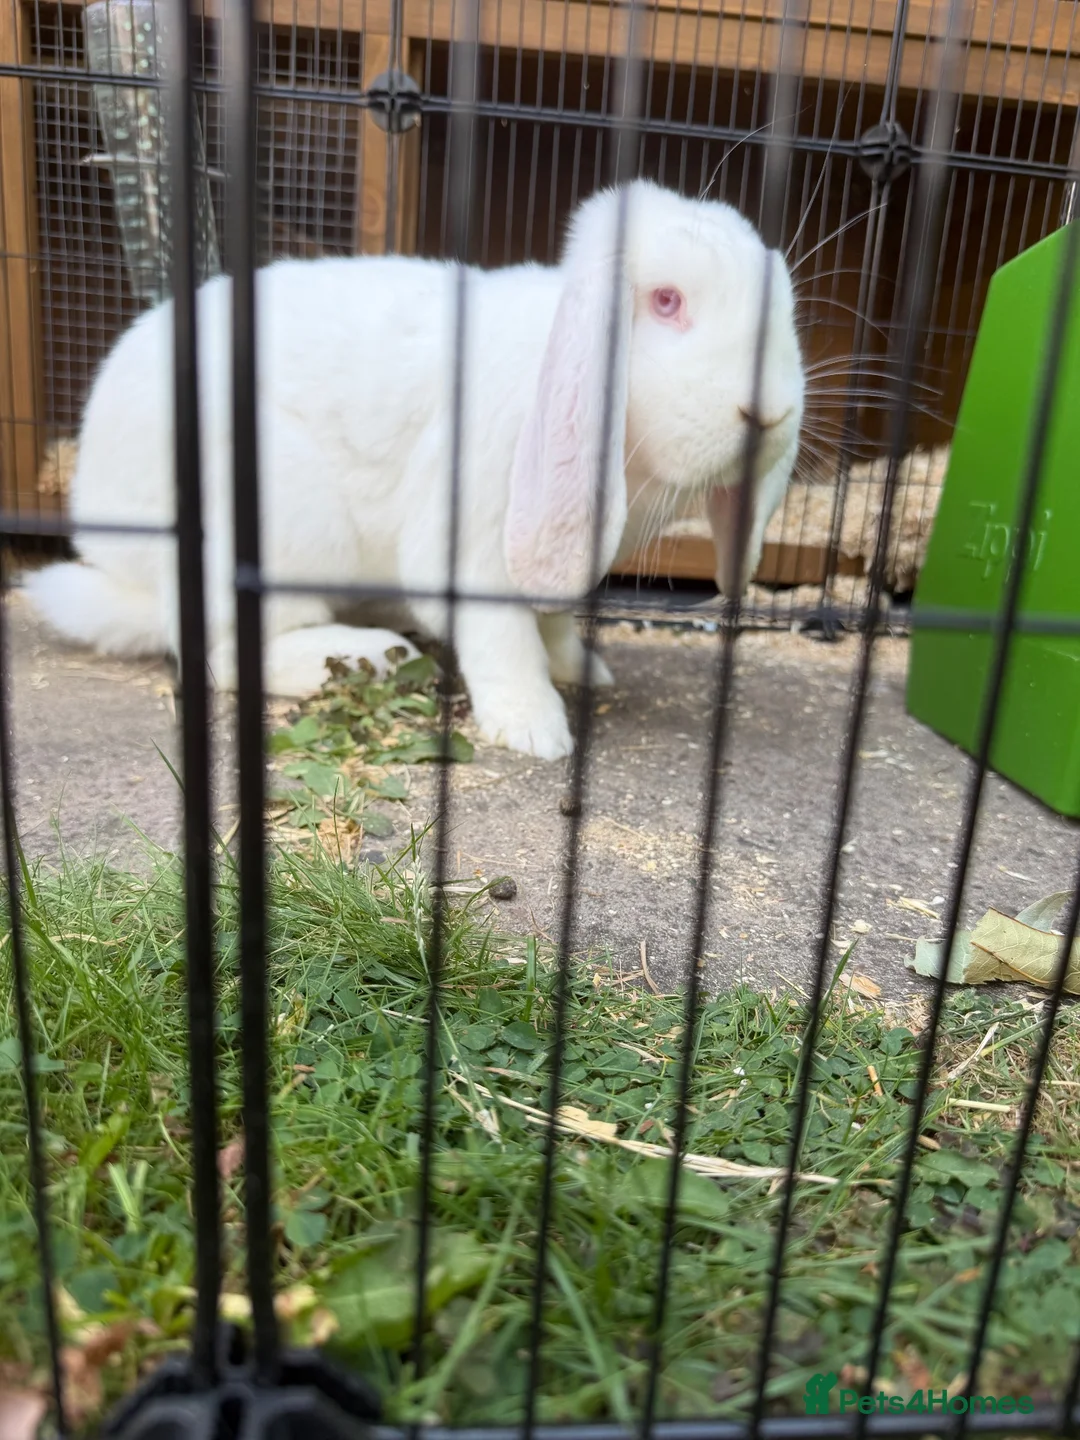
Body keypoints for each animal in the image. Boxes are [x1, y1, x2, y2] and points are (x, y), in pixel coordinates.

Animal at [25, 179, 804, 760]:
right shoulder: (476, 545)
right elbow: (504, 639)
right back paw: (372, 656)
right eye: (667, 301)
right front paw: (535, 729)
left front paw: (582, 669)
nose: (767, 412)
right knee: (219, 654)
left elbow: (550, 623)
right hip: (287, 529)